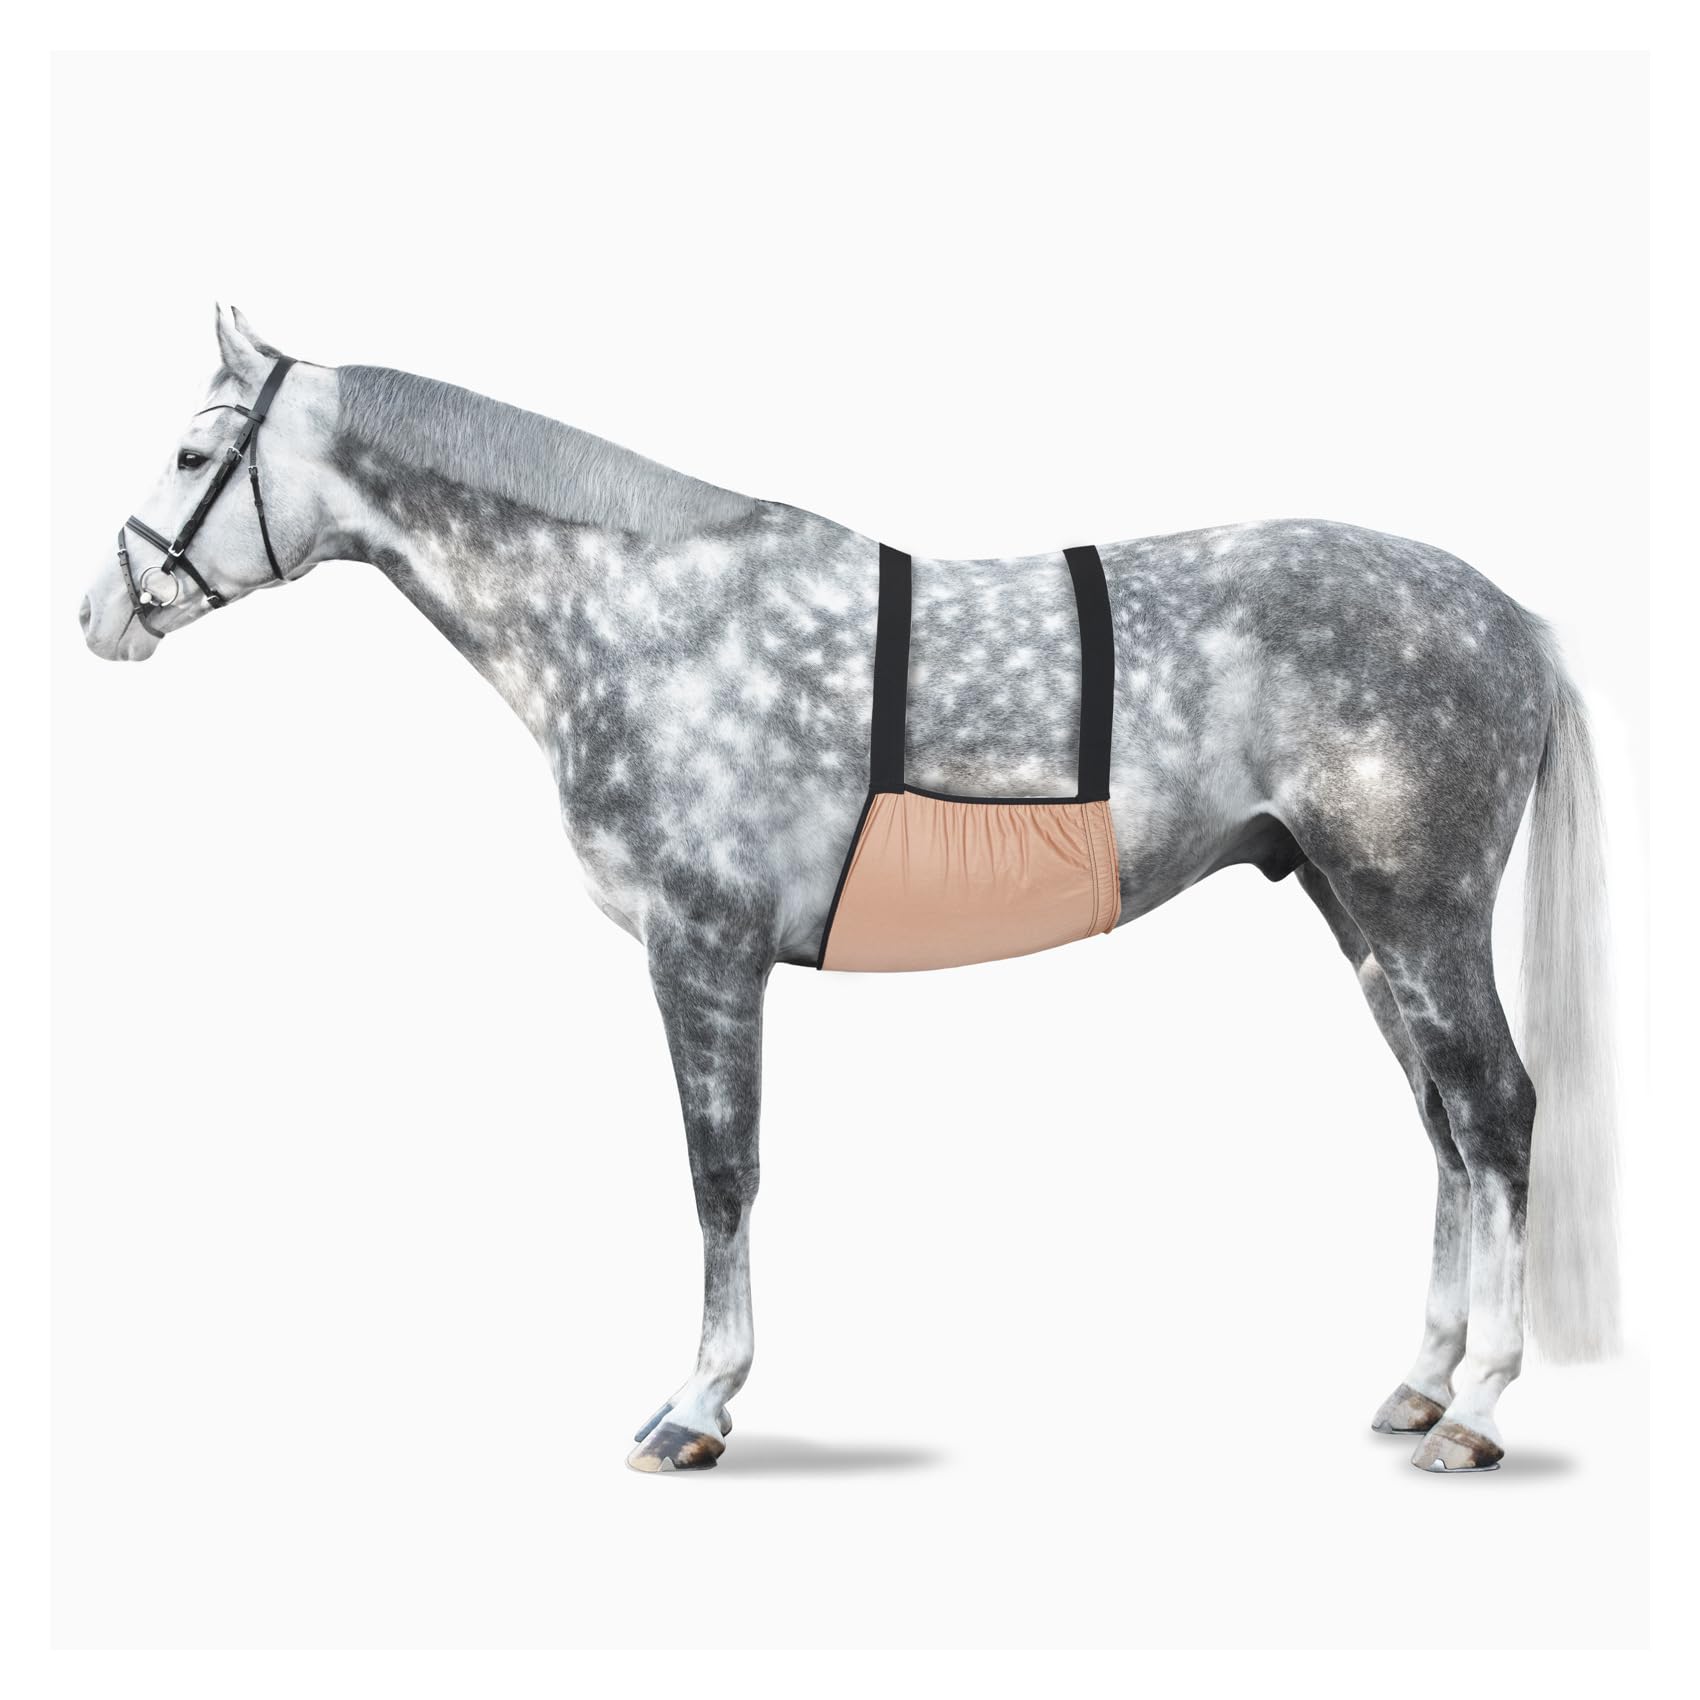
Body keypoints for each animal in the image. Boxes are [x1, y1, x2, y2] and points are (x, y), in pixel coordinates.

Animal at [80, 307, 1620, 1474]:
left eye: (193, 449)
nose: (100, 613)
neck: (640, 616)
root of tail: (1510, 618)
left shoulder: (700, 948)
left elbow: (720, 1171)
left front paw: (697, 1405)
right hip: (1355, 914)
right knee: (1440, 1127)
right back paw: (1418, 1384)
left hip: (1416, 911)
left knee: (1495, 1111)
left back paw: (1479, 1407)